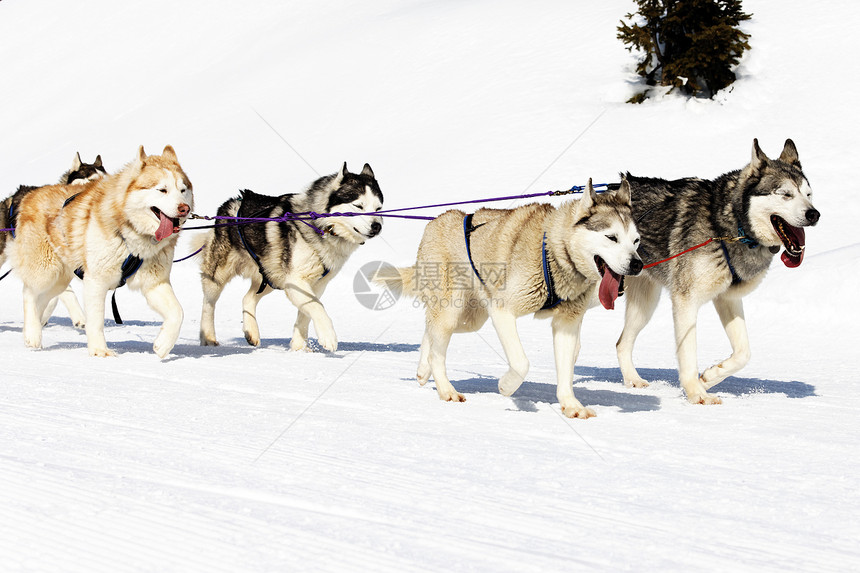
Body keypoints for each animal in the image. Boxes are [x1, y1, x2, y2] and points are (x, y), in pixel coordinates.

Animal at [11, 145, 193, 356]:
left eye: (183, 190)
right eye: (162, 190)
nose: (184, 208)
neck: (130, 235)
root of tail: (31, 194)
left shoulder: (154, 282)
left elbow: (178, 312)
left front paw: (163, 344)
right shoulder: (96, 281)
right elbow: (96, 320)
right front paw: (99, 351)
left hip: (60, 279)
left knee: (43, 300)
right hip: (46, 271)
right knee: (29, 294)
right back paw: (32, 334)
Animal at [197, 160, 384, 348]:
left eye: (378, 208)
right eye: (358, 206)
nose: (377, 226)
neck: (322, 226)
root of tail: (234, 200)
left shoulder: (316, 285)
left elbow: (306, 314)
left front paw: (299, 347)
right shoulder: (295, 281)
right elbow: (317, 307)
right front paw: (328, 336)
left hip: (271, 276)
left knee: (247, 298)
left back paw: (252, 332)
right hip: (219, 274)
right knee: (208, 303)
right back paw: (208, 337)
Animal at [380, 179, 640, 416]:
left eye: (636, 240)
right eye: (611, 237)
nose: (637, 264)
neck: (553, 251)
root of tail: (436, 221)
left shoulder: (567, 323)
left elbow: (566, 370)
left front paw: (571, 405)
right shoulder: (502, 311)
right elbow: (521, 362)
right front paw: (506, 386)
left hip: (470, 319)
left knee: (430, 331)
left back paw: (423, 370)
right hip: (453, 312)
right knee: (437, 348)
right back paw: (446, 390)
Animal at [620, 140, 820, 402]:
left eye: (808, 194)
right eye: (786, 194)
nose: (814, 214)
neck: (729, 225)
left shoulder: (728, 299)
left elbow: (744, 353)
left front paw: (710, 376)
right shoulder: (685, 301)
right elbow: (688, 353)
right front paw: (696, 393)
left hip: (644, 305)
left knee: (621, 343)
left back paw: (632, 380)